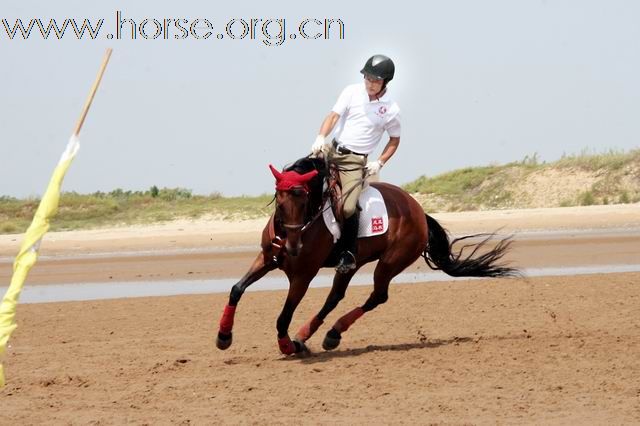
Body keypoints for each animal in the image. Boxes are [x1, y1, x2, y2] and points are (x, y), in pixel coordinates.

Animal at [218, 158, 516, 354]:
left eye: (304, 202)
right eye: (280, 202)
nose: (292, 248)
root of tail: (419, 210)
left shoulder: (302, 276)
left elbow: (284, 316)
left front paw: (286, 344)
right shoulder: (266, 260)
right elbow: (236, 289)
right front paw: (223, 336)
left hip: (389, 263)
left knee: (377, 296)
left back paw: (329, 334)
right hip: (352, 264)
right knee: (335, 297)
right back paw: (309, 336)